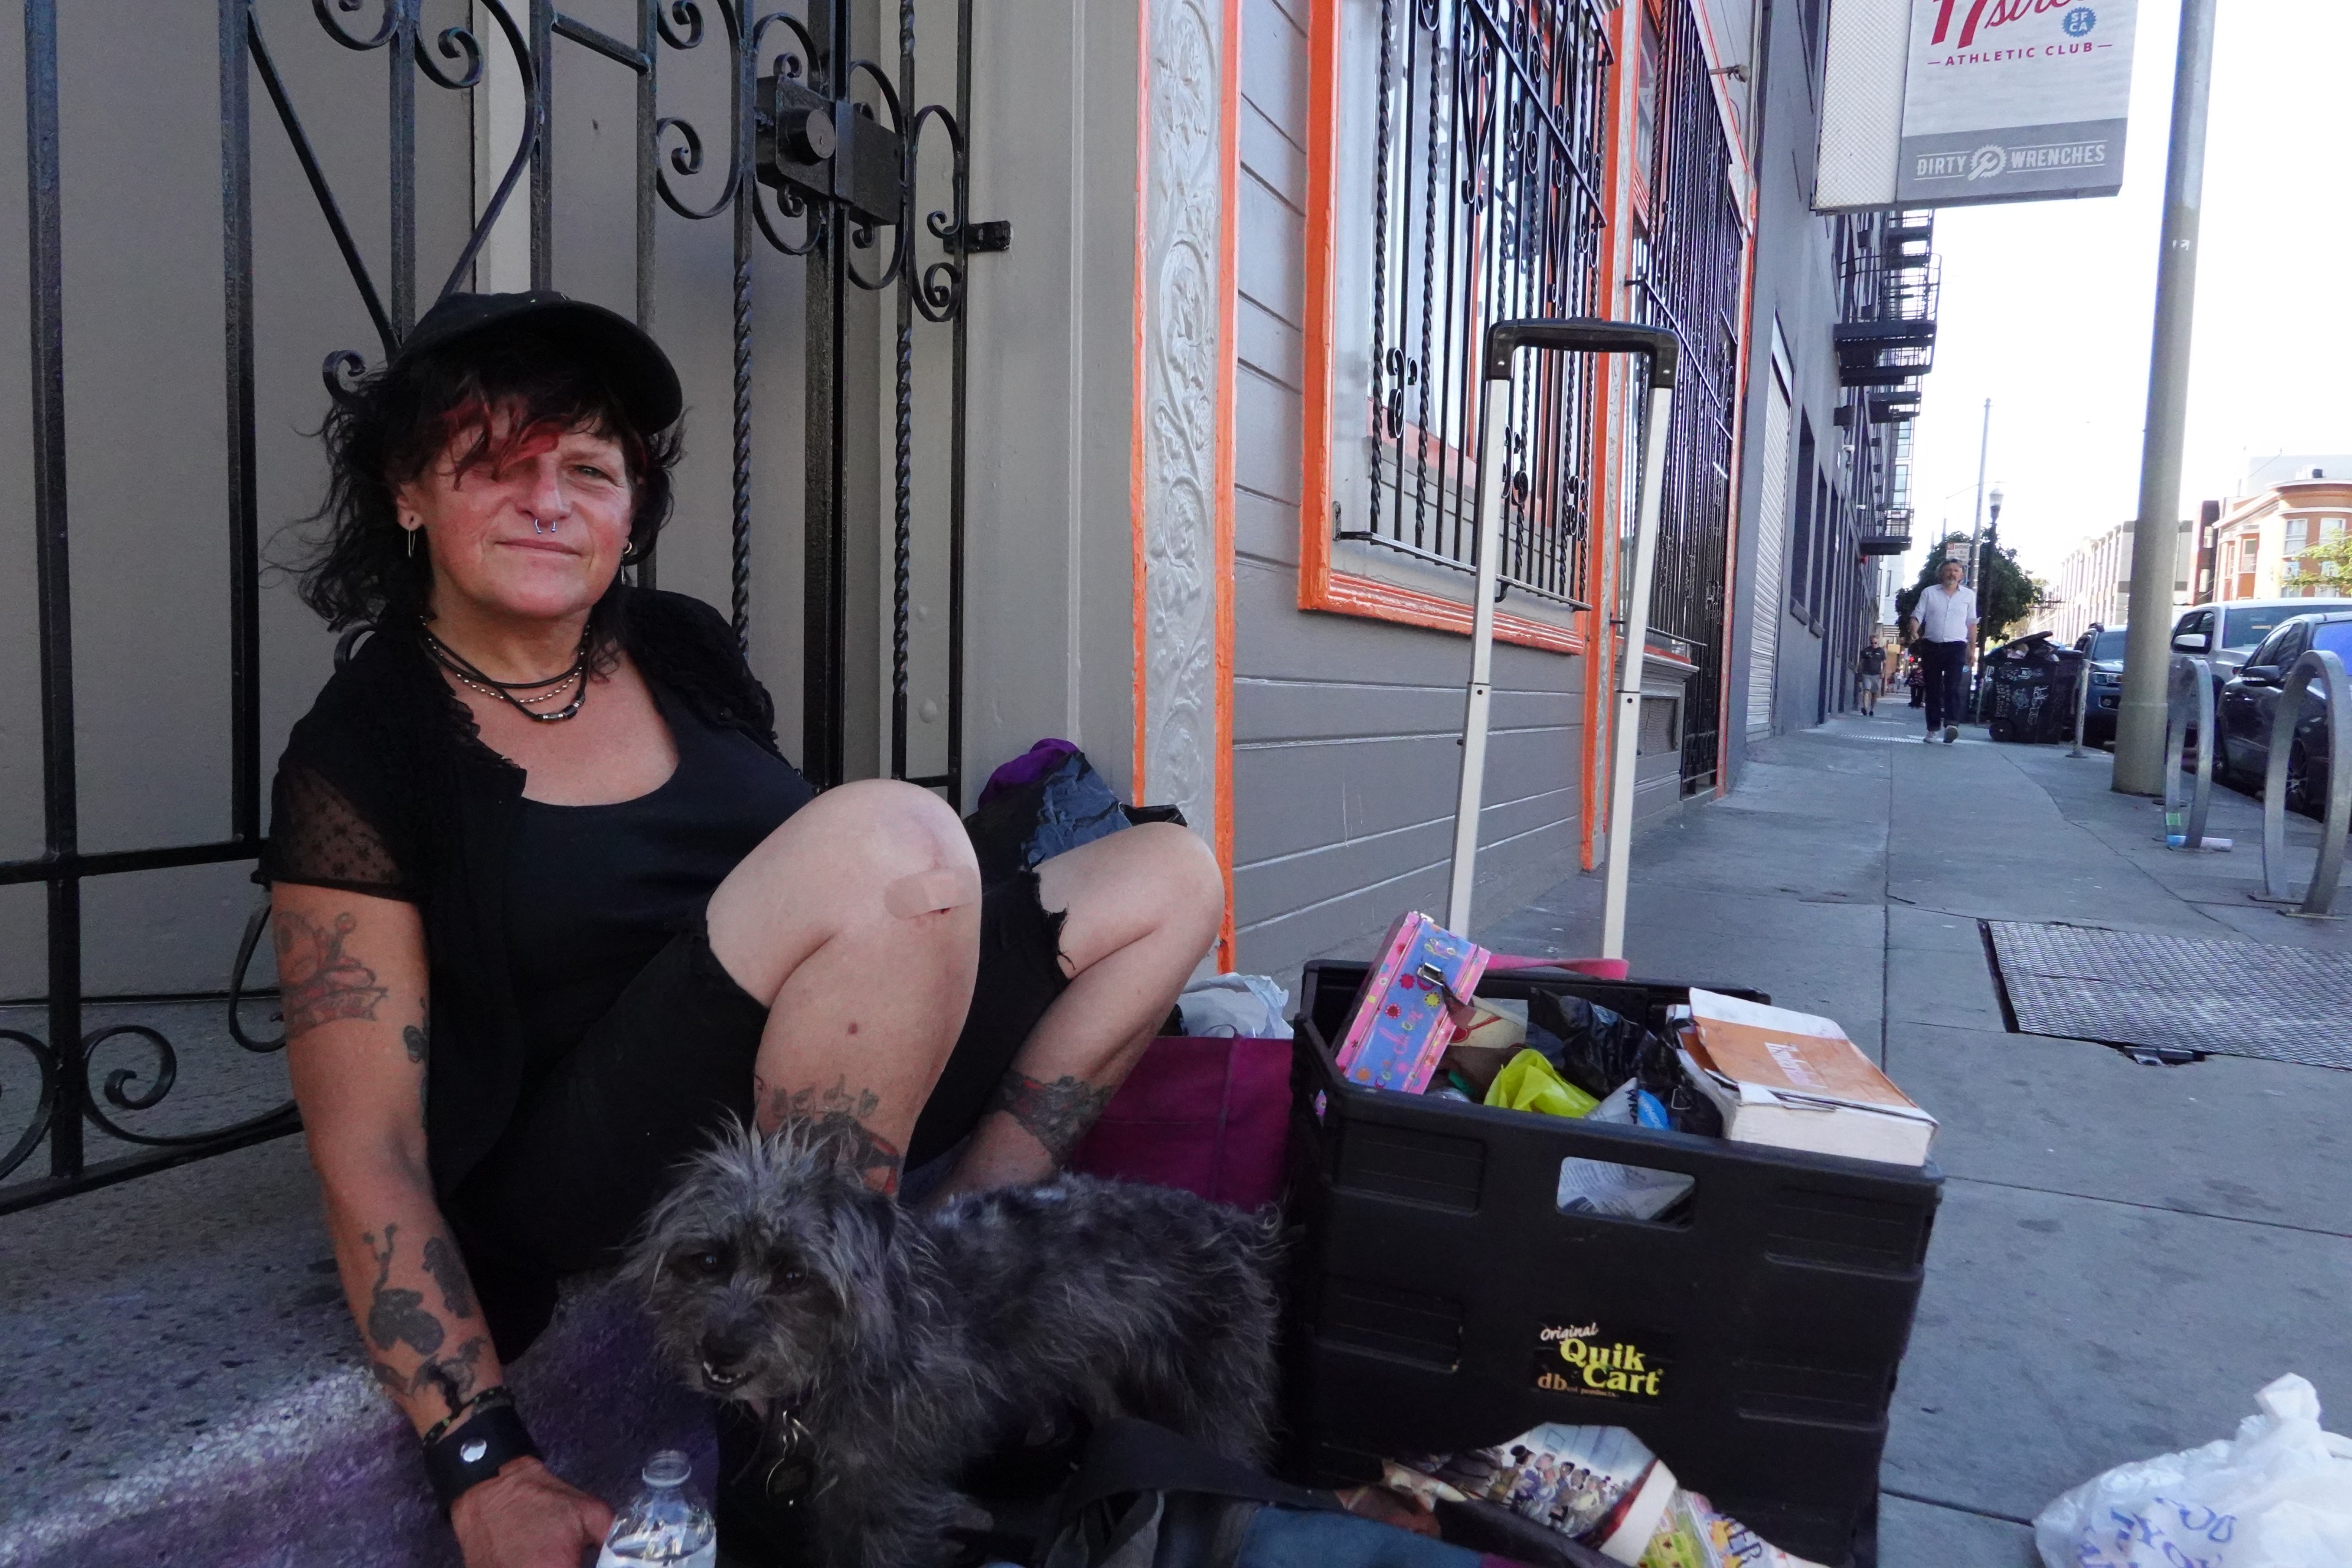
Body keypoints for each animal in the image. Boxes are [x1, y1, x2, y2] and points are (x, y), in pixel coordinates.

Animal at [625, 1128, 1279, 1568]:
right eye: (709, 1260)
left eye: (794, 1276)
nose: (720, 1351)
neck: (864, 1342)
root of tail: (1235, 1227)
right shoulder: (844, 1502)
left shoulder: (892, 1505)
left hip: (1210, 1432)